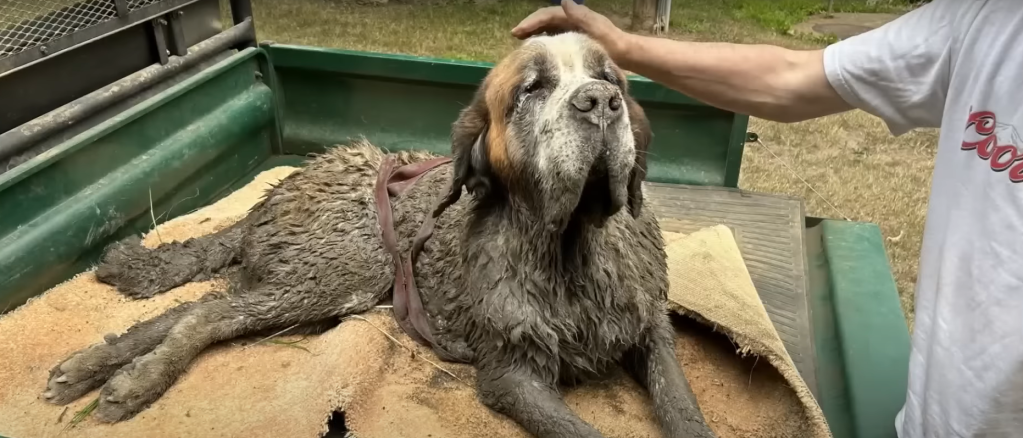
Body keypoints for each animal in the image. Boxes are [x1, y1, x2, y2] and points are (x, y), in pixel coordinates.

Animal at [41, 31, 720, 438]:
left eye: (614, 79)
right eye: (533, 89)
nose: (600, 101)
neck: (571, 245)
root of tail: (286, 186)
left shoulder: (650, 329)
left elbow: (682, 405)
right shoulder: (511, 373)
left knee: (194, 308)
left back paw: (90, 367)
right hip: (335, 276)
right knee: (206, 315)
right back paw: (134, 380)